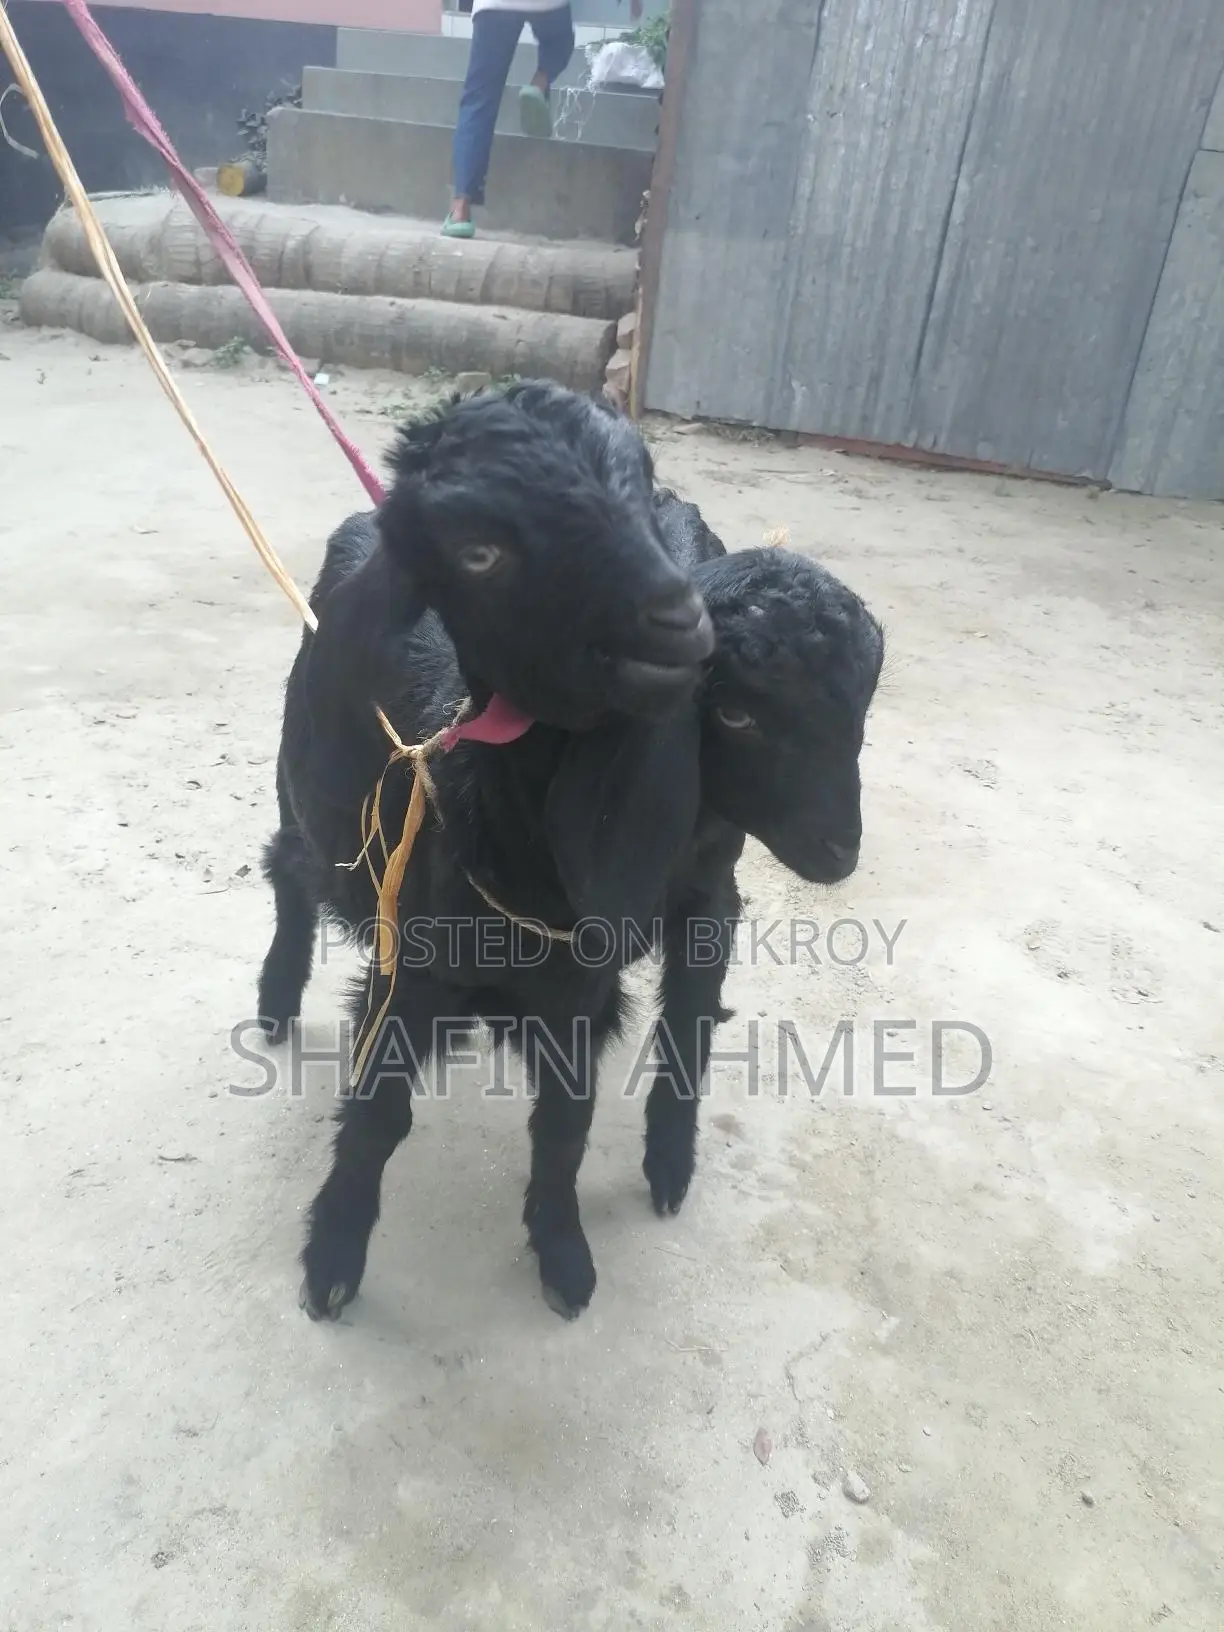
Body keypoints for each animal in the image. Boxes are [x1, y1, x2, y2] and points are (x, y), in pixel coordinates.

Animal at [256, 382, 883, 1322]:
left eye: (857, 713)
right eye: (737, 713)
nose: (839, 851)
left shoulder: (667, 927)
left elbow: (592, 1099)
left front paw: (578, 1238)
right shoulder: (418, 957)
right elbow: (377, 1113)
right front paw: (331, 1258)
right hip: (316, 815)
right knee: (288, 869)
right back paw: (274, 998)